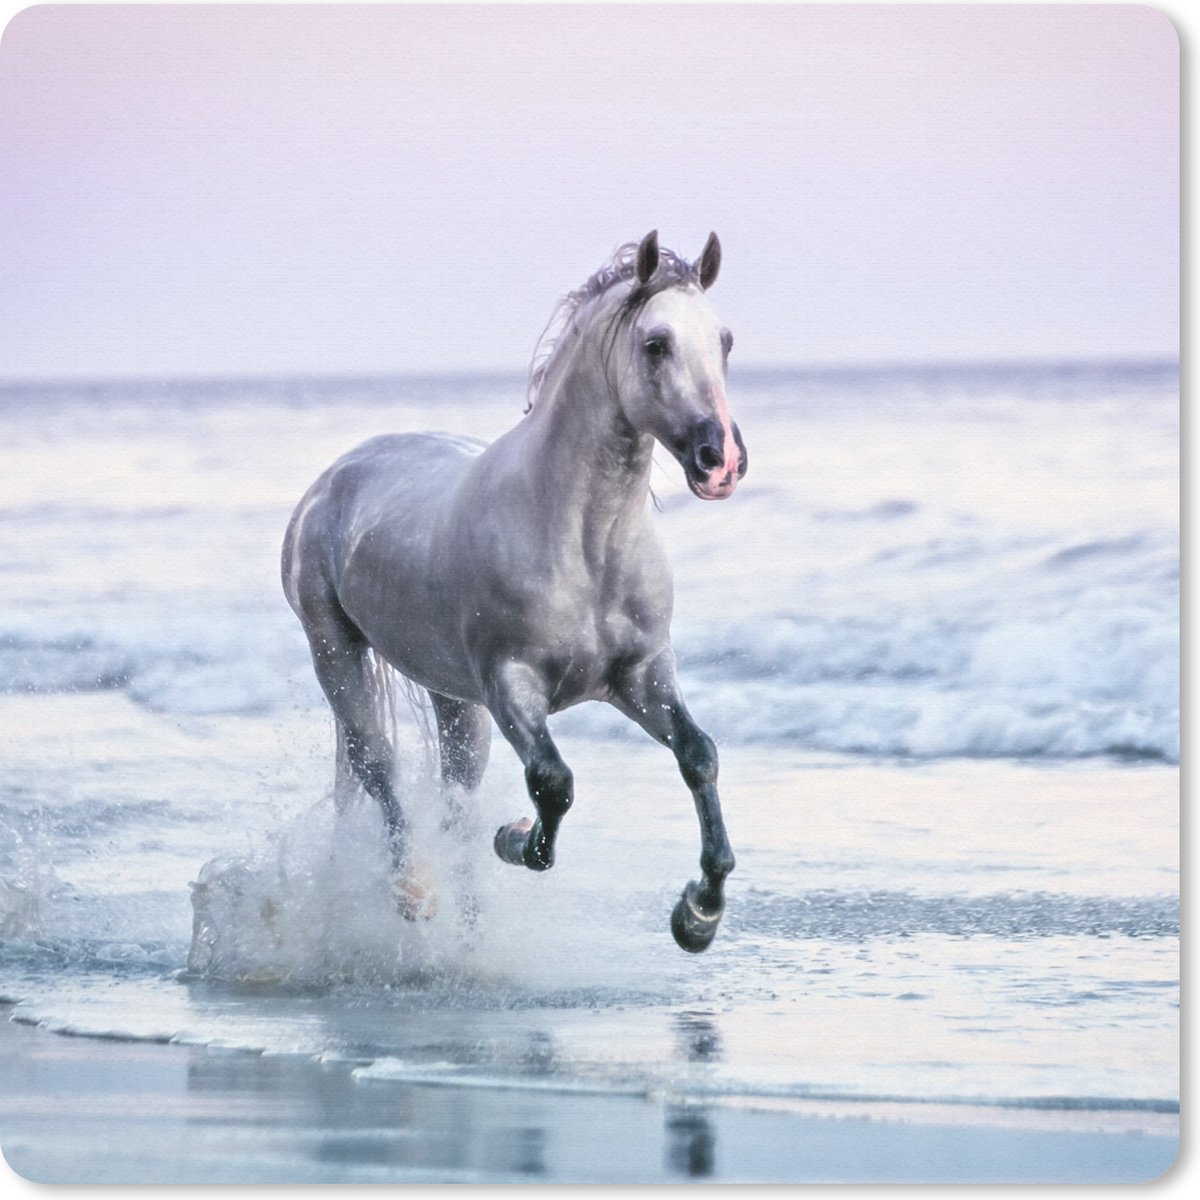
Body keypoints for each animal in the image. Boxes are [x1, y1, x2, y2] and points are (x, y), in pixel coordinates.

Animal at [281, 230, 747, 952]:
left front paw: (698, 916)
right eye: (656, 344)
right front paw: (516, 837)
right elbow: (552, 785)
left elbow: (699, 756)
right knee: (378, 768)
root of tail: (331, 480)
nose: (719, 460)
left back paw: (470, 934)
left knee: (454, 797)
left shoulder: (641, 676)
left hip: (451, 698)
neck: (583, 543)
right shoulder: (512, 686)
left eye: (723, 340)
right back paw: (414, 892)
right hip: (337, 654)